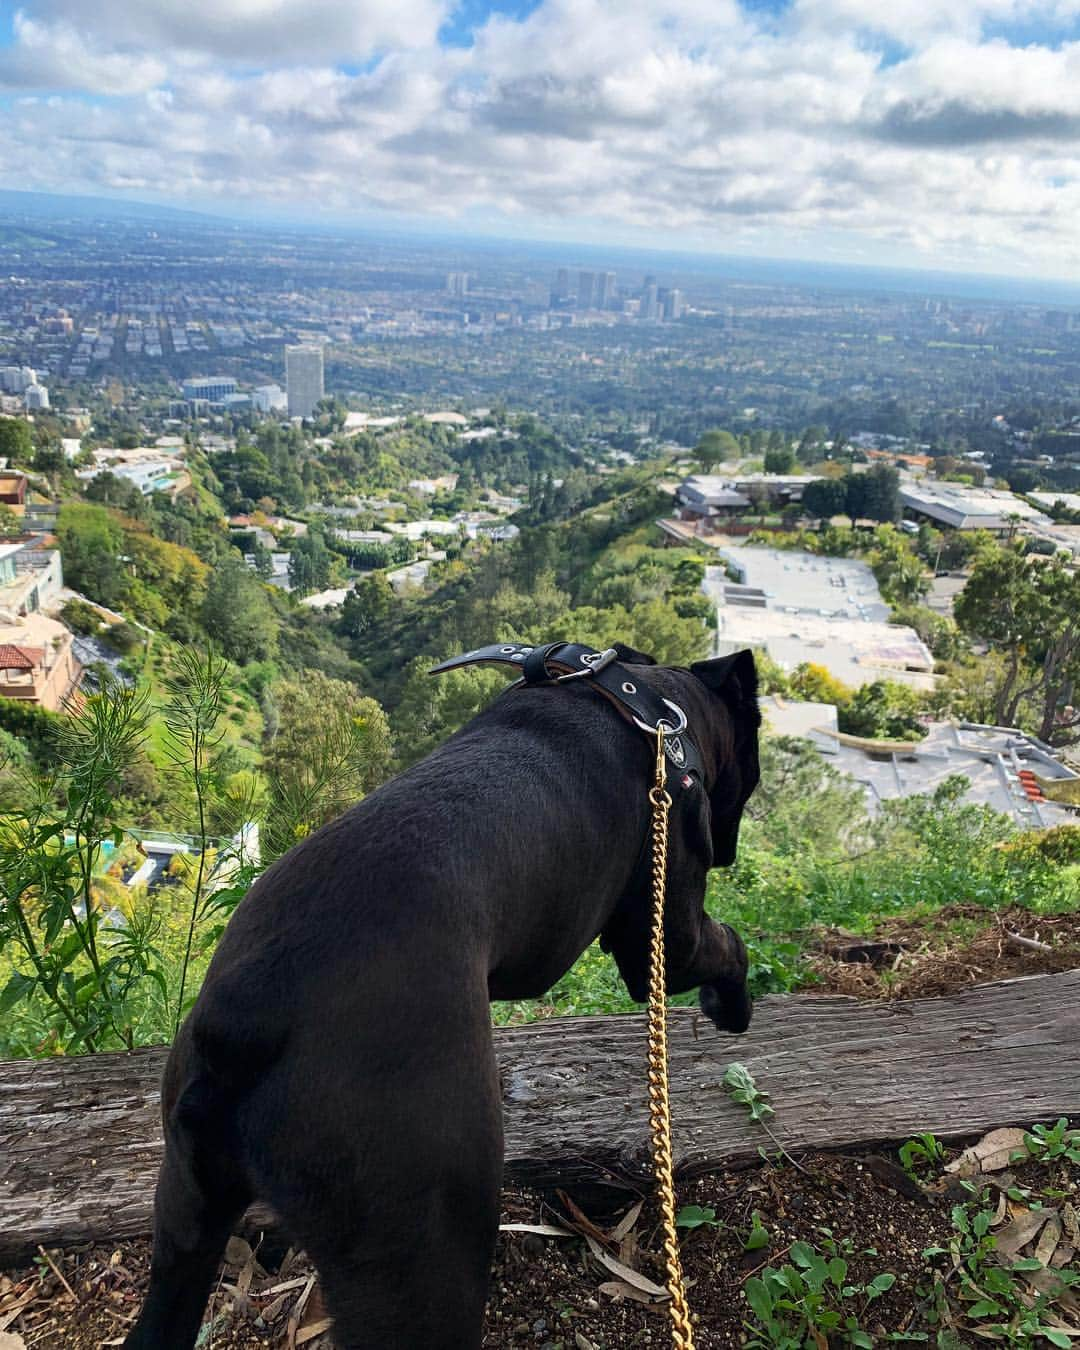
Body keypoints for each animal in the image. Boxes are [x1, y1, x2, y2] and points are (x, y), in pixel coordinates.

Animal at [124, 645, 761, 1350]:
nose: (729, 847)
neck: (647, 706)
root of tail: (248, 1019)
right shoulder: (668, 936)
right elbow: (727, 945)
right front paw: (734, 1005)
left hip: (186, 1218)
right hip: (424, 1252)